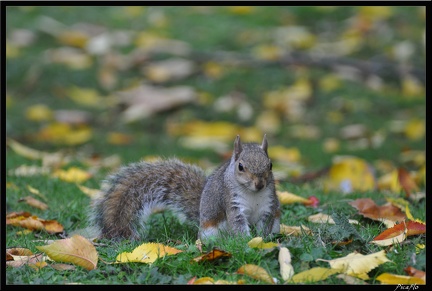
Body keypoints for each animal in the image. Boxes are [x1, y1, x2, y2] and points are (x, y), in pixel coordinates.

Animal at [89, 135, 282, 242]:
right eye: (240, 167)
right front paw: (246, 241)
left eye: (270, 165)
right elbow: (238, 224)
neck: (252, 194)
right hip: (210, 230)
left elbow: (265, 224)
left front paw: (262, 240)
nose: (260, 184)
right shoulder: (232, 203)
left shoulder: (268, 205)